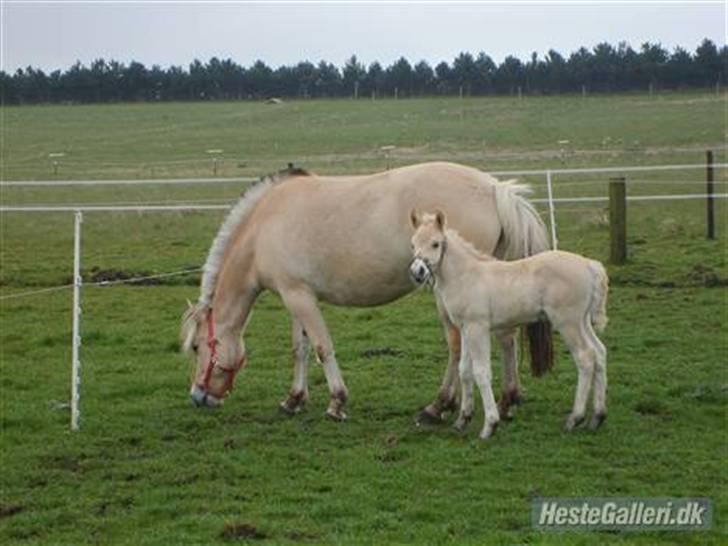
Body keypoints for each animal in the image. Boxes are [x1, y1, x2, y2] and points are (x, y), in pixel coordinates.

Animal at [182, 159, 552, 418]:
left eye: (198, 347)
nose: (198, 397)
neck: (263, 227)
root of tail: (494, 187)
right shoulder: (294, 295)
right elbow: (300, 349)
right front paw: (294, 399)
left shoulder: (300, 298)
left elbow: (322, 347)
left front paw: (337, 401)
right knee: (505, 337)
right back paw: (507, 400)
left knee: (456, 344)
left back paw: (439, 406)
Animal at [410, 208, 608, 438]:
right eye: (413, 244)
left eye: (435, 244)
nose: (417, 272)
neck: (466, 275)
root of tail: (590, 265)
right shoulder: (466, 328)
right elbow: (465, 370)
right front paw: (463, 419)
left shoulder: (478, 328)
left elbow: (481, 372)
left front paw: (490, 425)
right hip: (582, 321)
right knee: (599, 352)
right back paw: (597, 416)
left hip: (568, 323)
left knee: (585, 358)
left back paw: (575, 418)